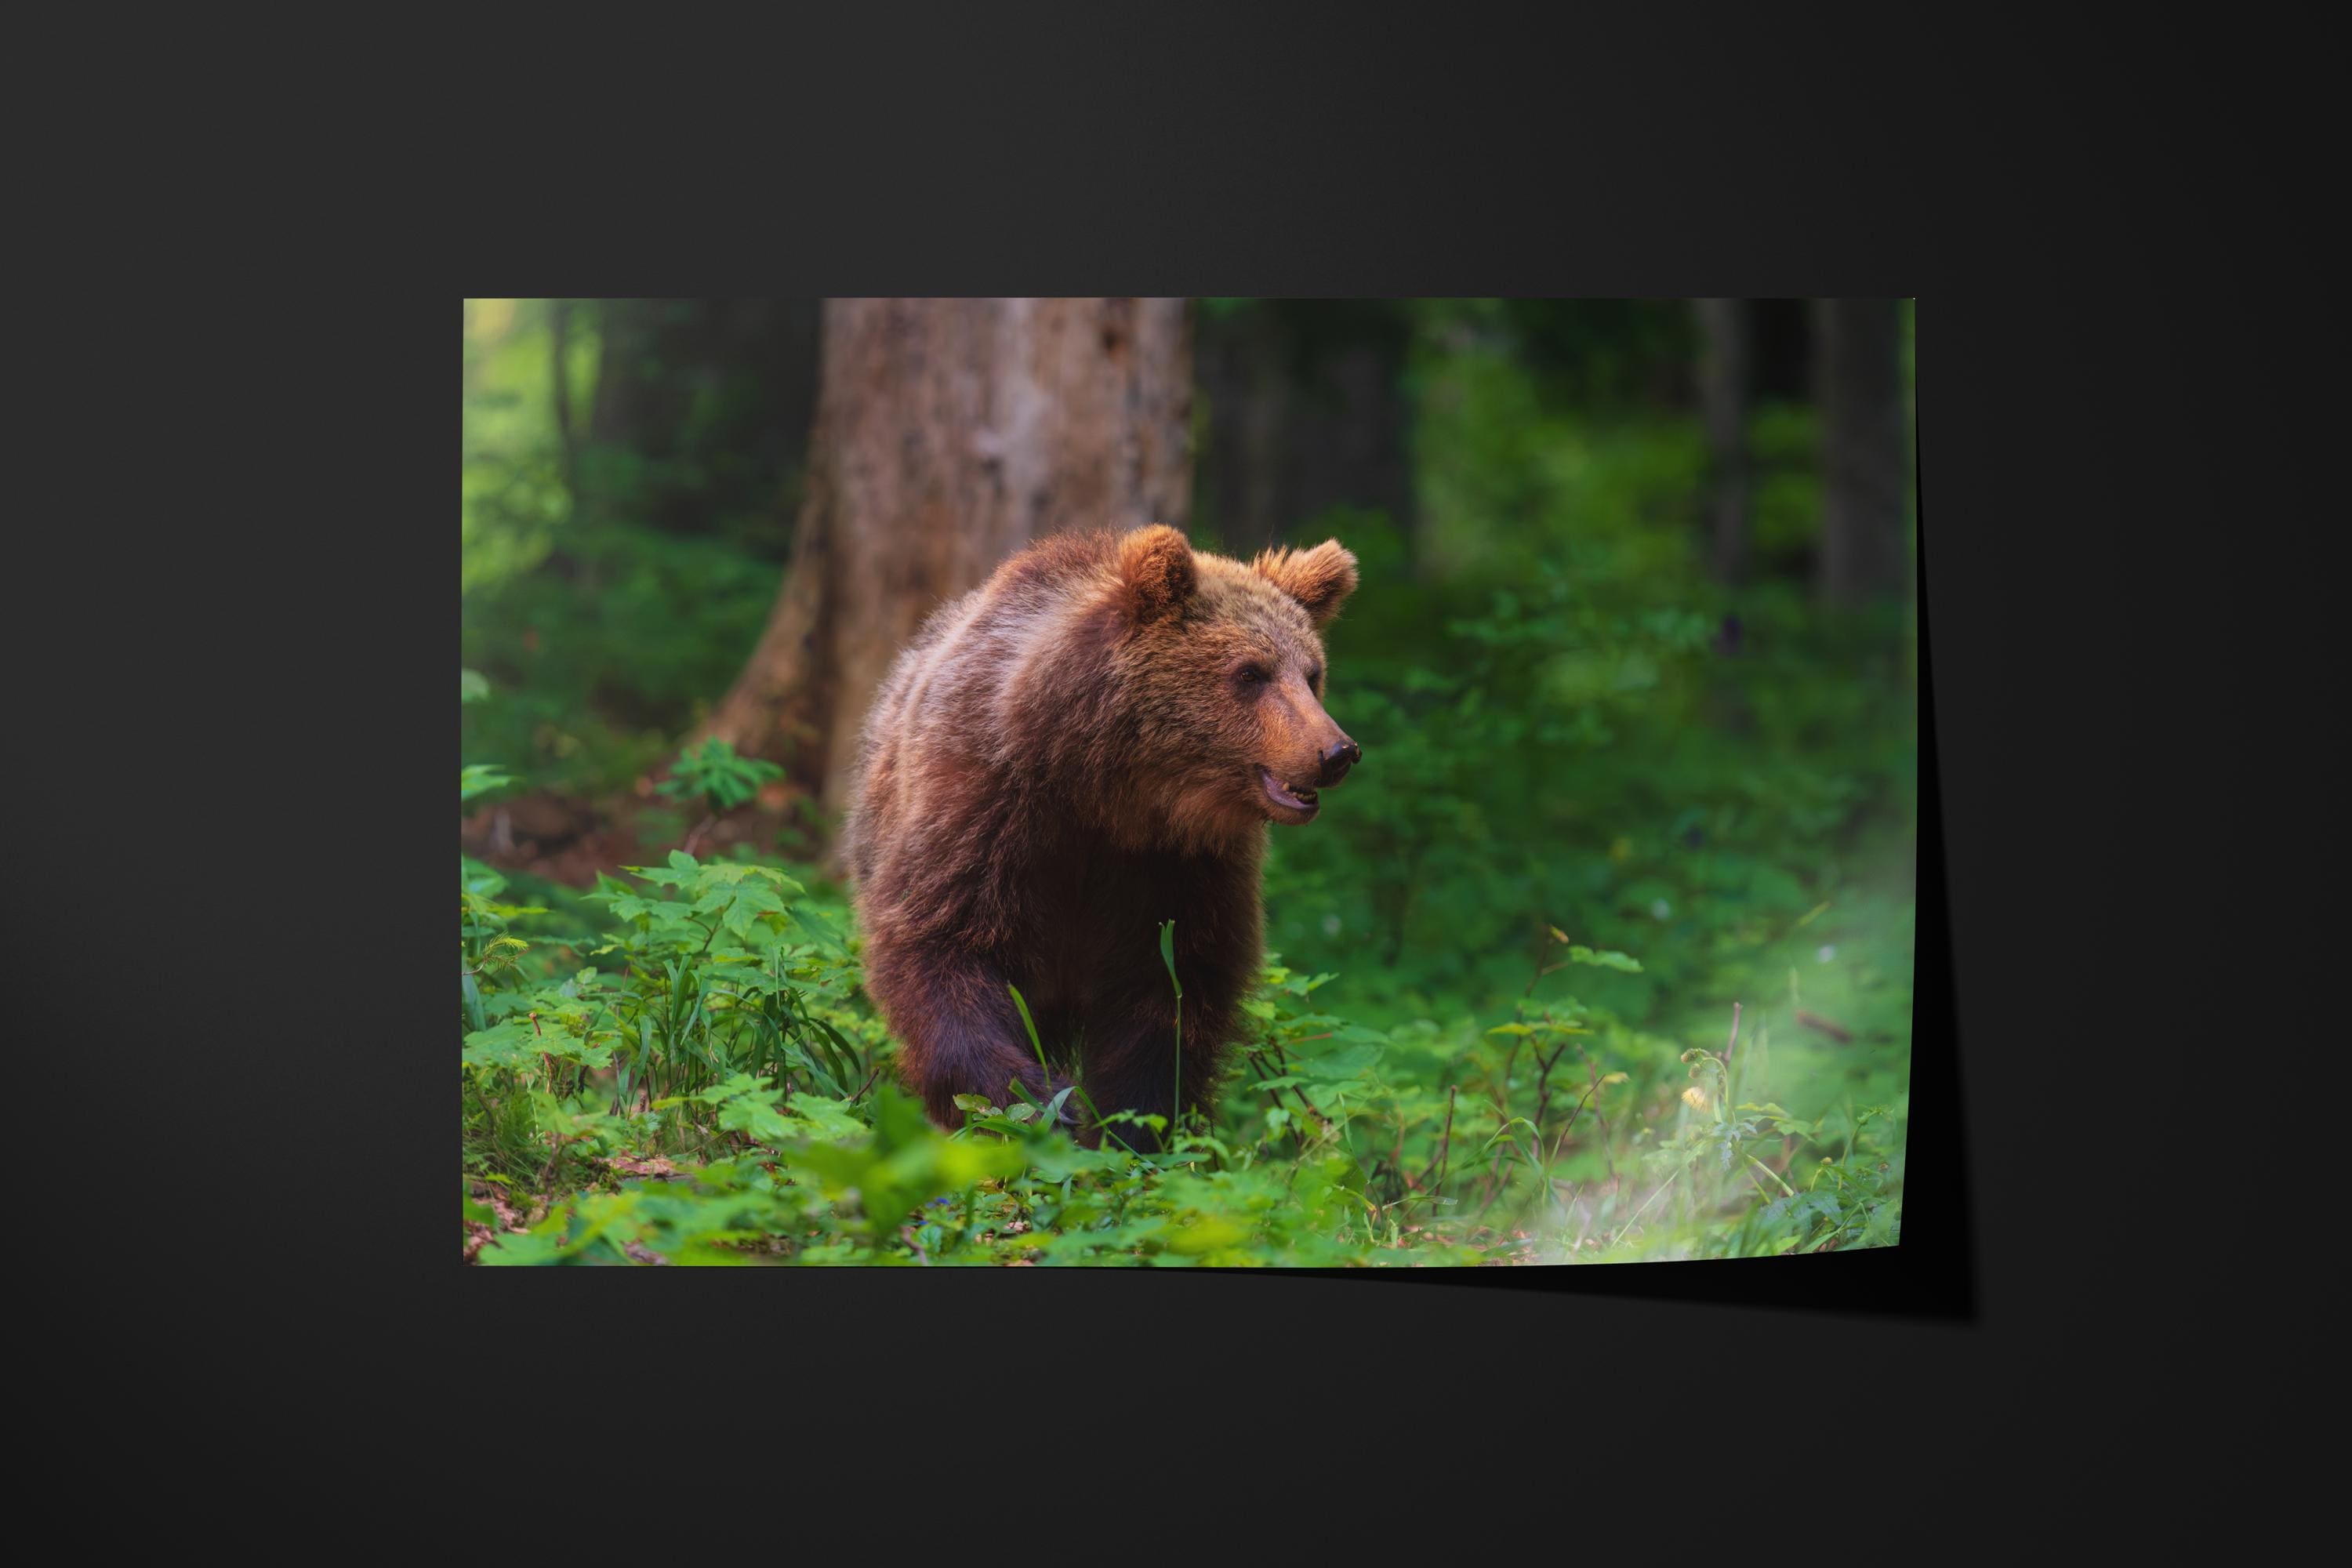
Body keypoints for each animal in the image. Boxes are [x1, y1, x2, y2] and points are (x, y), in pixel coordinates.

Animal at [840, 523, 1362, 1151]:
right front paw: (1036, 1099)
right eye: (1250, 673)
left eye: (1312, 674)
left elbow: (1170, 992)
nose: (1336, 752)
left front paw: (1130, 1127)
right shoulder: (983, 811)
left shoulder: (1182, 868)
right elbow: (942, 946)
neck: (1104, 792)